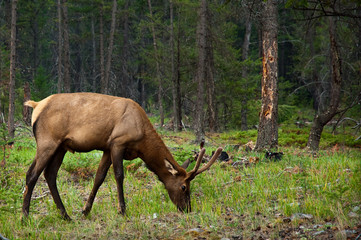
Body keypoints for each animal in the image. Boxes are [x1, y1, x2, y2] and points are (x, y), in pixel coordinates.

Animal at [23, 92, 222, 219]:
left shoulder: (107, 148)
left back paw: (65, 215)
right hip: (48, 142)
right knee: (32, 174)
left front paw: (85, 210)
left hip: (61, 147)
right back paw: (25, 216)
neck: (142, 142)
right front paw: (123, 211)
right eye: (183, 187)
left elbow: (99, 177)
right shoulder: (118, 143)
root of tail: (36, 105)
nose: (187, 208)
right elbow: (119, 175)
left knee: (49, 174)